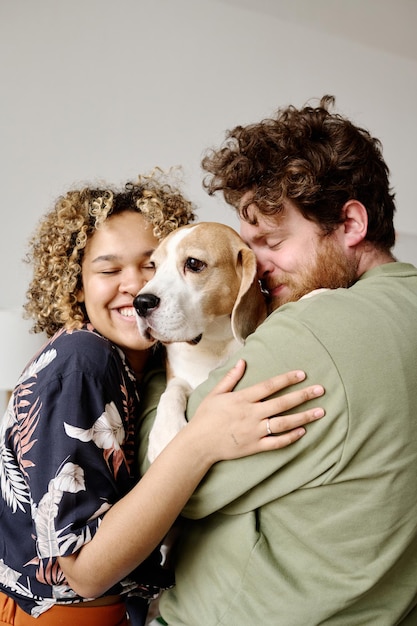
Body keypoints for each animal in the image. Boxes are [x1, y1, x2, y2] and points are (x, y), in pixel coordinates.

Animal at [135, 222, 268, 460]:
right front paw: (165, 435)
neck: (212, 342)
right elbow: (171, 392)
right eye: (153, 266)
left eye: (193, 263)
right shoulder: (178, 376)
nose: (140, 303)